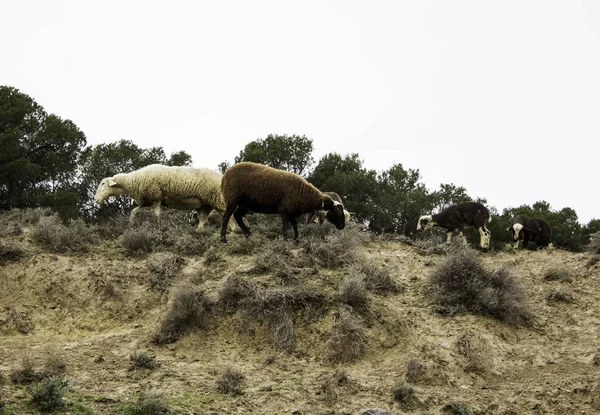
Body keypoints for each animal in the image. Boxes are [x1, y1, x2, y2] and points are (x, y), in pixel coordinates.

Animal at [96, 163, 227, 229]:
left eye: (103, 184)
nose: (96, 199)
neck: (133, 181)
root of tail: (221, 175)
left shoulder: (156, 197)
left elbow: (157, 214)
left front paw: (159, 227)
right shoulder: (147, 201)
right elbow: (133, 212)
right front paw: (131, 225)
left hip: (217, 199)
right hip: (203, 204)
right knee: (203, 221)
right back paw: (198, 232)